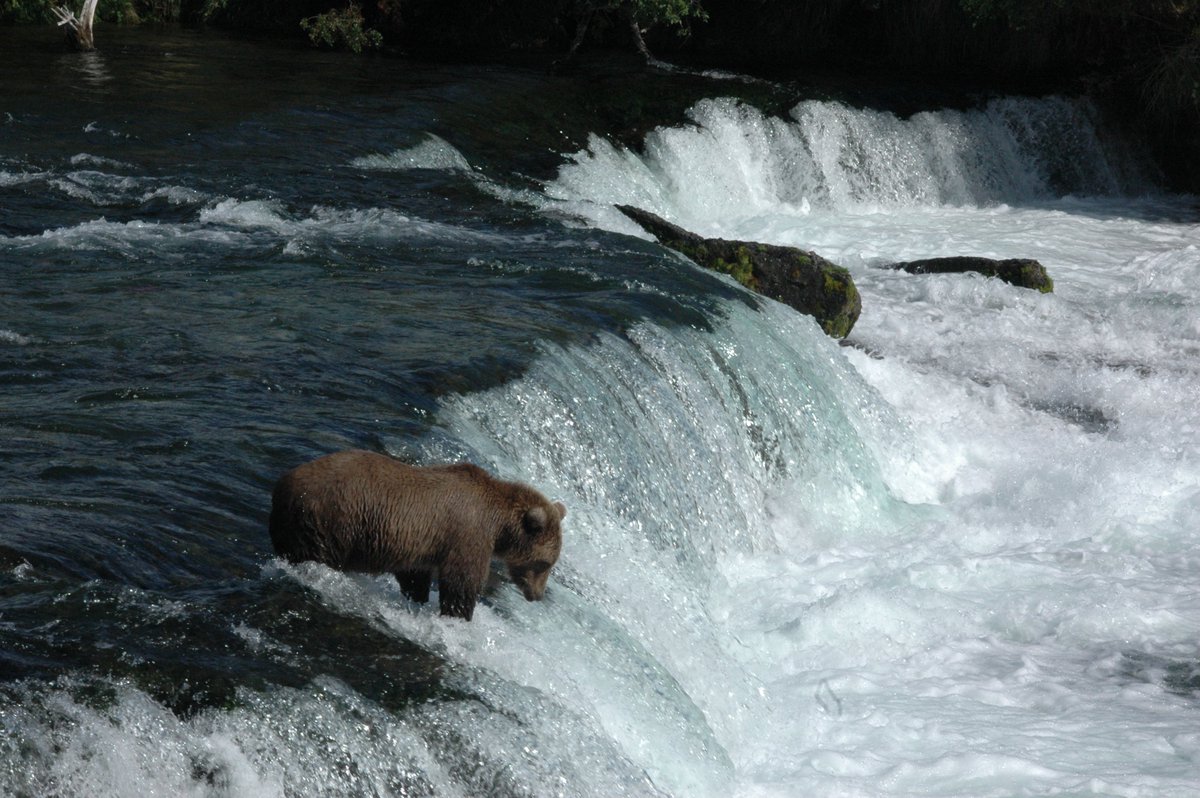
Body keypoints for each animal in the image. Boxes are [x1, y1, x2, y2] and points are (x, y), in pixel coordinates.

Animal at [269, 449, 566, 621]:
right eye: (545, 563)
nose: (537, 595)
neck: (499, 524)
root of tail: (282, 485)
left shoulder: (419, 544)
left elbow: (415, 575)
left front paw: (418, 599)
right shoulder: (468, 535)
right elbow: (461, 582)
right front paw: (458, 616)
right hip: (330, 520)